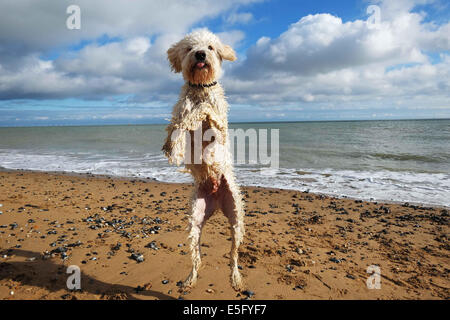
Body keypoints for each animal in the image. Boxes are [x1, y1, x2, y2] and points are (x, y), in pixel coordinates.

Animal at [163, 29, 246, 290]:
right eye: (189, 48)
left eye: (210, 47)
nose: (200, 54)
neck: (200, 89)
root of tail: (216, 200)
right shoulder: (179, 112)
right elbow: (178, 126)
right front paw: (173, 147)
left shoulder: (219, 124)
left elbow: (202, 112)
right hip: (195, 220)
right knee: (196, 257)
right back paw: (190, 279)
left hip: (236, 218)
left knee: (233, 255)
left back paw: (235, 278)